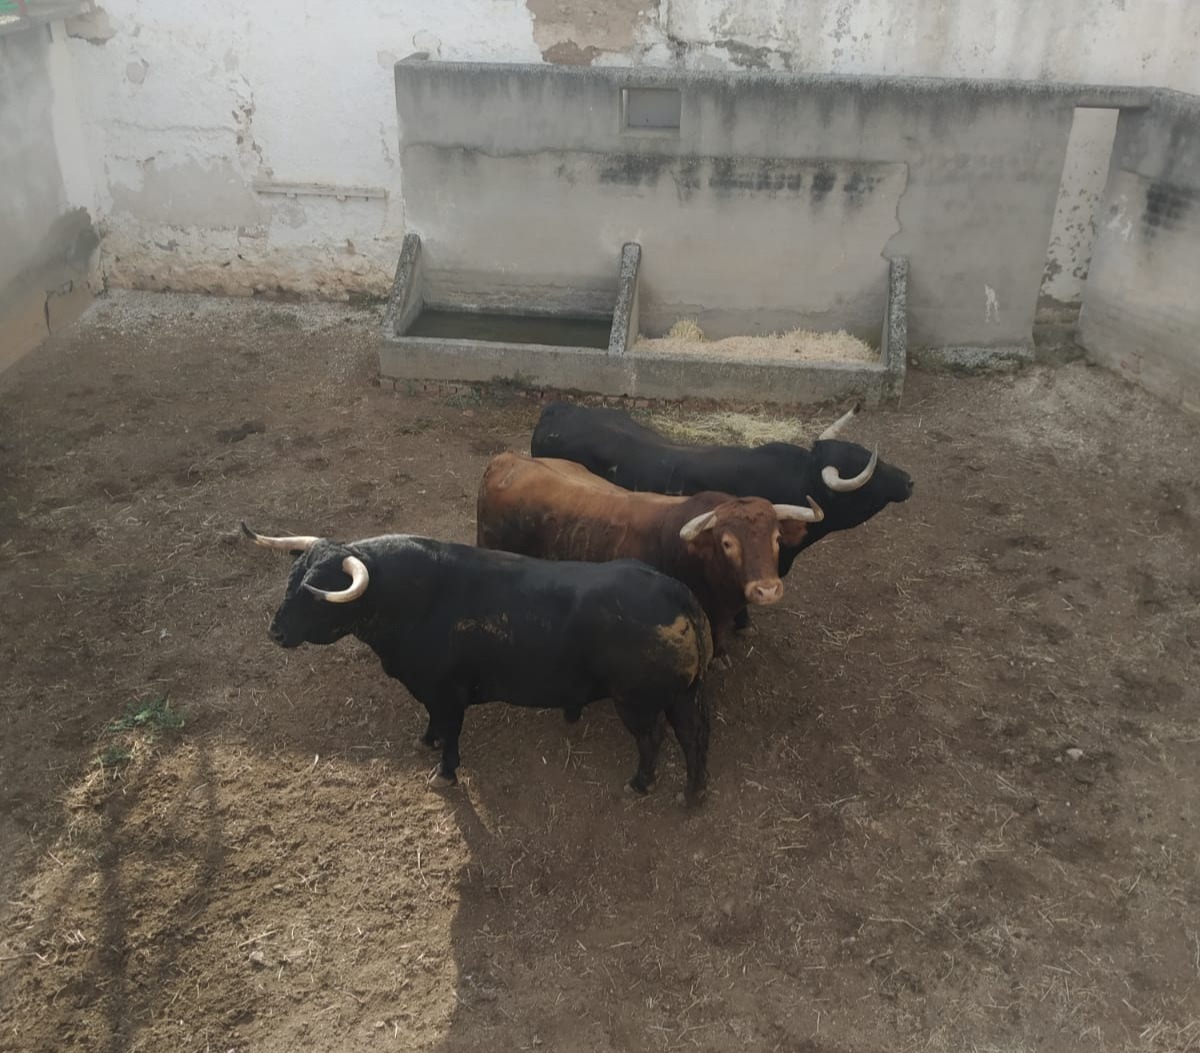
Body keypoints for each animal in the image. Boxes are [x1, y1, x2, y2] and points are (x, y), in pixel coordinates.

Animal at [242, 522, 712, 805]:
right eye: (291, 581)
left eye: (317, 593)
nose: (276, 633)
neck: (408, 599)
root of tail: (674, 591)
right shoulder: (429, 691)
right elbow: (434, 722)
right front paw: (426, 740)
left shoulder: (448, 693)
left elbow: (451, 732)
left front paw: (445, 771)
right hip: (680, 697)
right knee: (692, 738)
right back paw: (691, 795)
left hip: (636, 703)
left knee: (654, 739)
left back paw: (641, 783)